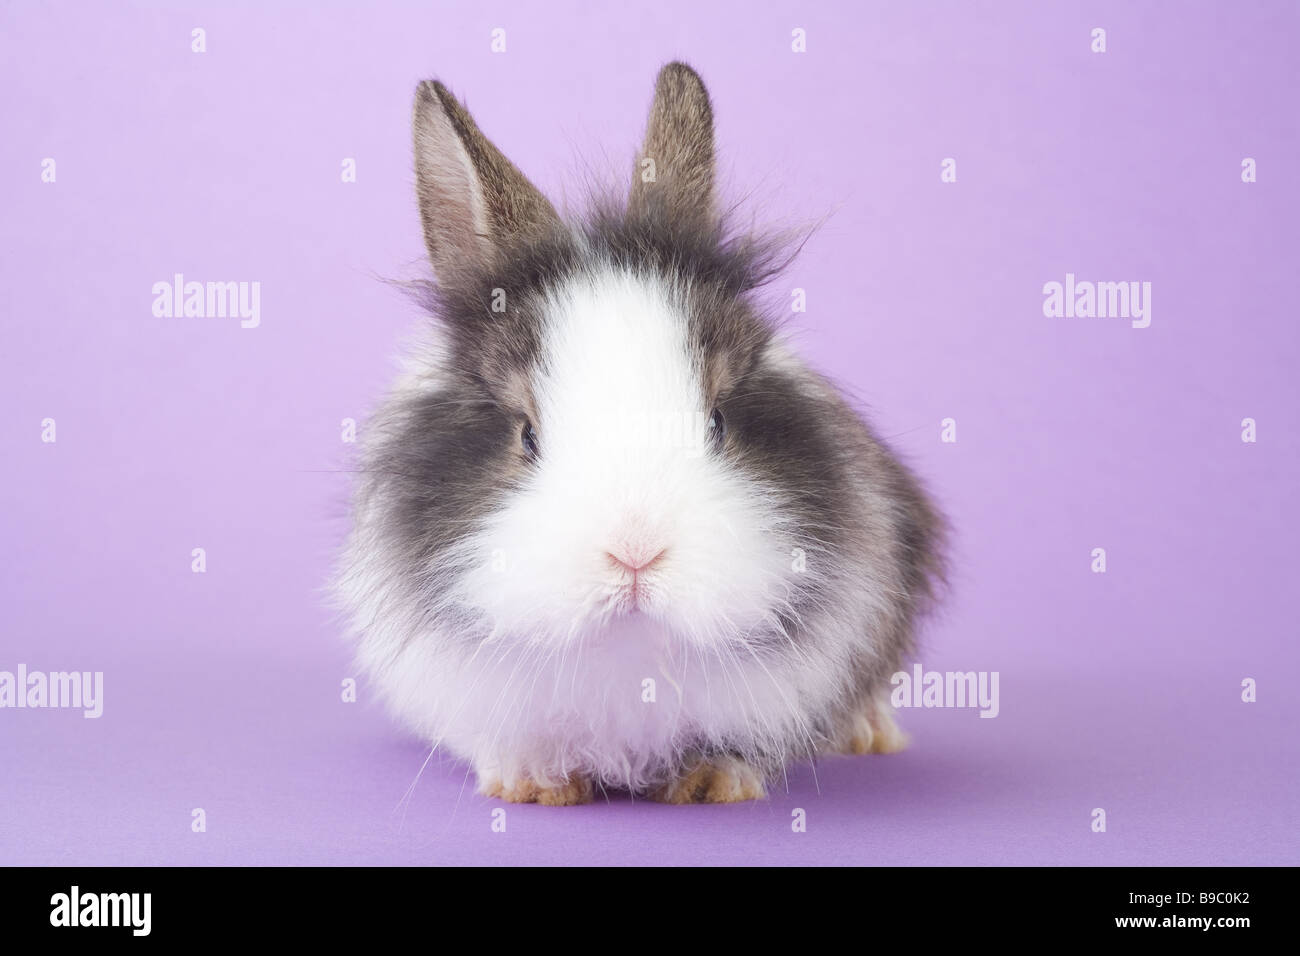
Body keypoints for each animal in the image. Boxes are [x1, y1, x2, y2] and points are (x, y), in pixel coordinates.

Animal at [335, 61, 946, 806]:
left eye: (718, 421)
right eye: (527, 436)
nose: (634, 554)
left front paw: (716, 780)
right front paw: (531, 783)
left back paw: (869, 733)